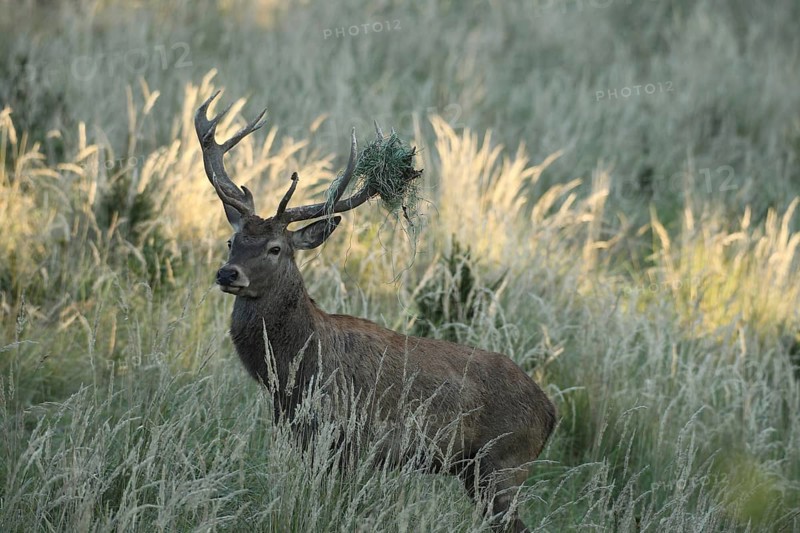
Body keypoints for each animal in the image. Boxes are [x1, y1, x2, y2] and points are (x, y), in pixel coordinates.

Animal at [195, 91, 556, 532]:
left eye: (275, 248)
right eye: (232, 241)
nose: (228, 273)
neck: (294, 365)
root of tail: (550, 411)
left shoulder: (350, 437)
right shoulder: (303, 436)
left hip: (503, 463)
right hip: (478, 471)